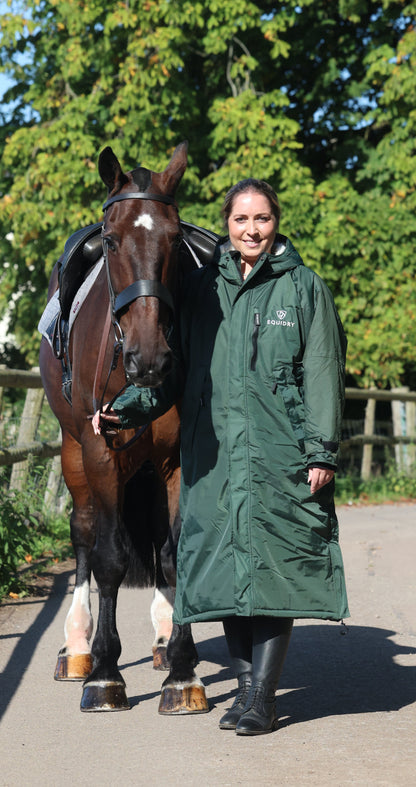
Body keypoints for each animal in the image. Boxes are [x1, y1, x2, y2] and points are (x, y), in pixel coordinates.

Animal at [39, 142, 209, 713]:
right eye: (112, 241)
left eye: (175, 239)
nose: (149, 358)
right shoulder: (101, 451)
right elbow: (109, 557)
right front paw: (105, 673)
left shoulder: (178, 460)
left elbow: (175, 556)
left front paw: (182, 671)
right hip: (74, 451)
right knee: (85, 532)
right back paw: (77, 647)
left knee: (155, 538)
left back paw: (161, 638)